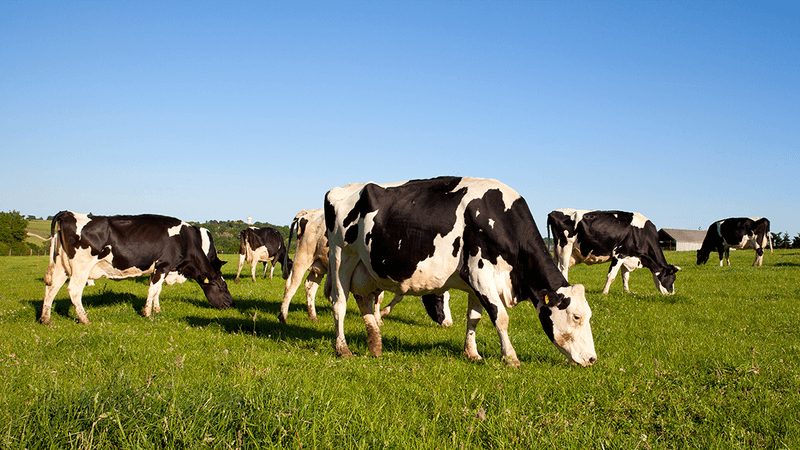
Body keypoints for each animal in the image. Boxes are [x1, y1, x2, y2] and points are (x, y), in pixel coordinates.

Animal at [40, 211, 234, 325]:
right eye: (223, 287)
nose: (232, 304)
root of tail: (68, 213)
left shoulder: (159, 269)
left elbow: (157, 290)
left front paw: (156, 309)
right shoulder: (163, 265)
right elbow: (153, 290)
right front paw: (148, 313)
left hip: (61, 266)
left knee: (51, 287)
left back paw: (45, 319)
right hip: (81, 267)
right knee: (73, 290)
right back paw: (85, 319)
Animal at [278, 208, 452, 327]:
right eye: (438, 298)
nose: (449, 323)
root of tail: (307, 213)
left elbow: (392, 297)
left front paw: (379, 316)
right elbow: (385, 297)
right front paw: (380, 316)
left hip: (319, 265)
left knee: (310, 287)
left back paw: (313, 316)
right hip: (303, 257)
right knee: (291, 285)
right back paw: (283, 316)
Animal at [324, 176, 596, 368]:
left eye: (588, 315)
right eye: (576, 317)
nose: (592, 359)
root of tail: (338, 189)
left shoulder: (478, 282)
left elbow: (474, 317)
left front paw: (472, 353)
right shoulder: (480, 272)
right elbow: (501, 317)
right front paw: (510, 357)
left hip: (365, 268)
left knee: (364, 301)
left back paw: (375, 344)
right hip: (340, 257)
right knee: (340, 303)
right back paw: (343, 349)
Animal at [547, 209, 680, 295]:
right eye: (672, 278)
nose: (671, 294)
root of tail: (553, 212)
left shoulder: (628, 257)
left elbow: (625, 276)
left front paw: (627, 292)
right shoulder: (620, 253)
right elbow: (611, 276)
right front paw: (605, 293)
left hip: (557, 249)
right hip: (565, 246)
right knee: (563, 269)